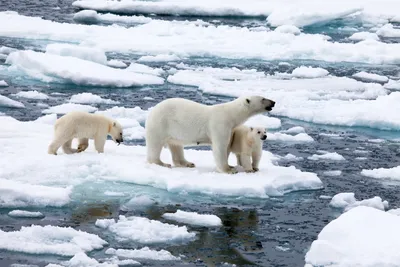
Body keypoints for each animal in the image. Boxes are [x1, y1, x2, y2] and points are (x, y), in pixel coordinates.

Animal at [145, 96, 276, 174]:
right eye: (263, 98)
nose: (273, 102)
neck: (231, 114)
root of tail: (153, 110)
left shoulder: (230, 129)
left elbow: (227, 146)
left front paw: (231, 166)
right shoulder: (220, 124)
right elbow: (220, 147)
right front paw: (229, 170)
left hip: (174, 130)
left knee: (176, 145)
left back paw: (188, 163)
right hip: (161, 124)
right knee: (155, 145)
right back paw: (161, 163)